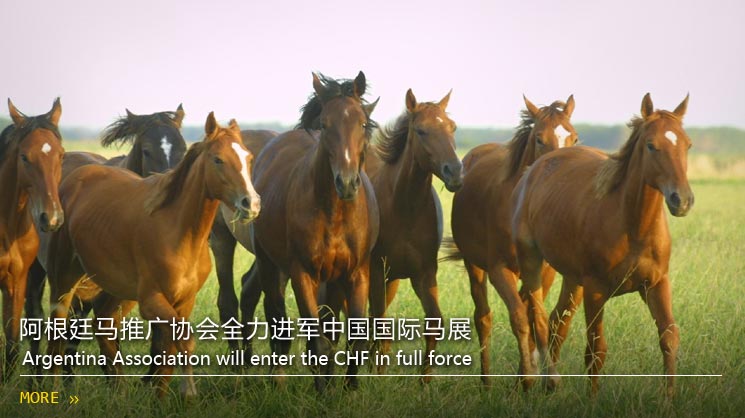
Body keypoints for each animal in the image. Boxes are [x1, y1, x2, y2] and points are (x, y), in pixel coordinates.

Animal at [46, 113, 260, 397]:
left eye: (248, 158)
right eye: (218, 159)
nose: (251, 204)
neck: (180, 233)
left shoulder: (183, 301)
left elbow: (169, 349)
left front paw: (162, 396)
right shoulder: (152, 301)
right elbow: (183, 341)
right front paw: (188, 392)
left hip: (117, 289)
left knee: (104, 324)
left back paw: (119, 391)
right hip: (64, 279)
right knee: (58, 331)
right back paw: (52, 388)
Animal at [249, 72, 379, 391]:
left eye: (361, 123)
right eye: (325, 124)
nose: (347, 183)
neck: (335, 213)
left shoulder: (357, 273)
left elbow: (353, 338)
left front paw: (349, 391)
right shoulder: (302, 273)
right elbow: (315, 339)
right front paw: (322, 392)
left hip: (332, 279)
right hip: (269, 264)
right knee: (276, 317)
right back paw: (278, 380)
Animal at [365, 88, 462, 381]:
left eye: (452, 127)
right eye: (421, 130)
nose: (455, 172)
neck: (405, 209)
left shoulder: (424, 274)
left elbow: (434, 322)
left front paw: (424, 382)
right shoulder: (376, 270)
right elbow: (380, 326)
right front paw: (378, 379)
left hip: (392, 281)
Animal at [447, 95, 577, 389]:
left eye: (574, 138)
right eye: (540, 139)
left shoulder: (543, 272)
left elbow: (535, 315)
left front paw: (532, 377)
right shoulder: (498, 269)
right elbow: (519, 318)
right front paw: (528, 379)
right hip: (474, 265)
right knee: (483, 317)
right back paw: (486, 382)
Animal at [510, 93, 693, 397]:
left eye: (687, 144)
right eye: (651, 145)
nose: (682, 200)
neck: (633, 227)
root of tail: (535, 168)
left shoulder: (656, 284)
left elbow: (669, 337)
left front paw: (669, 399)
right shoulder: (596, 290)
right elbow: (596, 349)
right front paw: (592, 399)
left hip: (573, 279)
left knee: (557, 322)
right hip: (533, 262)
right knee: (537, 316)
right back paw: (537, 380)